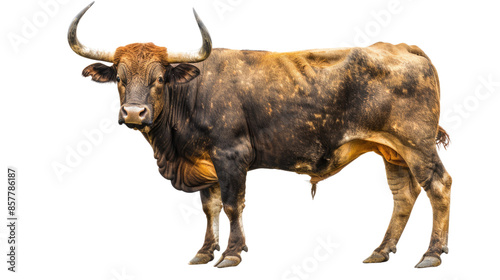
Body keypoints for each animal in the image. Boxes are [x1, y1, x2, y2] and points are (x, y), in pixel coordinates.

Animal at [69, 2, 454, 270]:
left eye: (159, 79)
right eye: (119, 78)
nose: (134, 113)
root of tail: (402, 46)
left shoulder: (231, 155)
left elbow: (231, 204)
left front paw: (231, 253)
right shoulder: (206, 162)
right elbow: (209, 207)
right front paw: (204, 251)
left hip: (416, 145)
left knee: (438, 186)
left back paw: (432, 253)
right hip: (392, 151)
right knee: (403, 195)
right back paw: (381, 250)